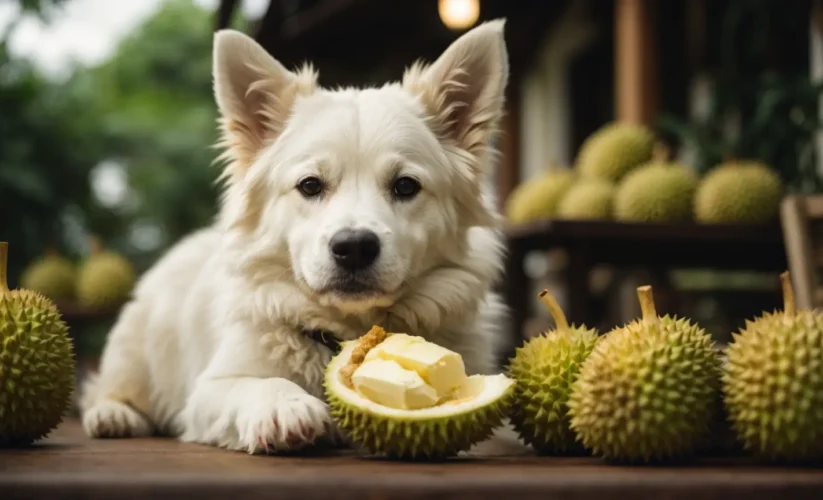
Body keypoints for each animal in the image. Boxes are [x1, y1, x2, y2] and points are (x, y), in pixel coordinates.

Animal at [80, 18, 512, 454]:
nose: (354, 248)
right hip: (135, 356)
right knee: (107, 390)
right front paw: (284, 406)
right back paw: (114, 415)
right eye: (310, 185)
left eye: (406, 186)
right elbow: (257, 384)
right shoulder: (207, 391)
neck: (347, 333)